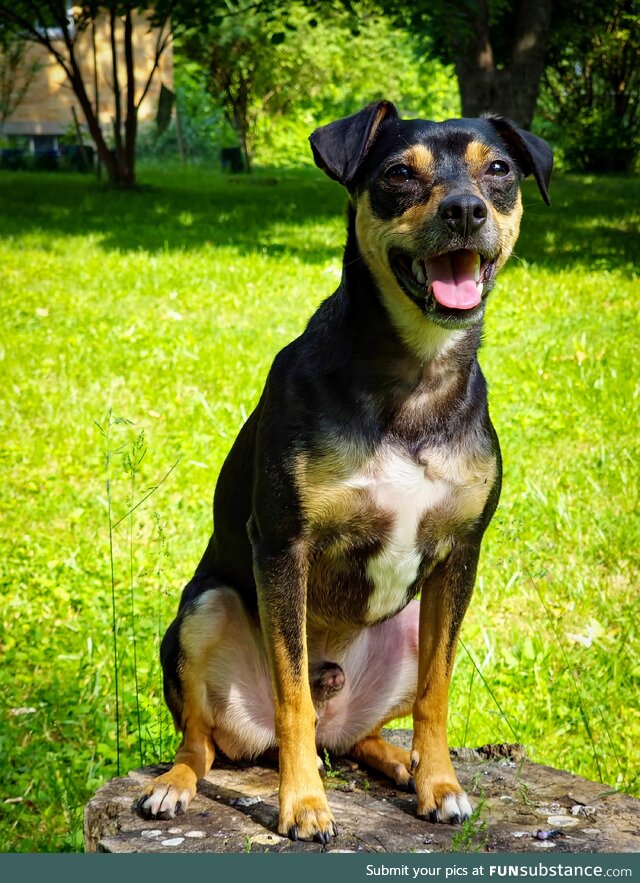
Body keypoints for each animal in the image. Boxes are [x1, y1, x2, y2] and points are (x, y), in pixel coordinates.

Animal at [136, 100, 556, 848]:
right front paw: (304, 804)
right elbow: (293, 696)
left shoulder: (461, 556)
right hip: (202, 612)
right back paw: (176, 785)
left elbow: (437, 694)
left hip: (411, 624)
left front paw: (440, 783)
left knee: (361, 736)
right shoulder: (283, 546)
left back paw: (400, 764)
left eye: (500, 170)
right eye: (398, 175)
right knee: (205, 740)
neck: (415, 373)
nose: (466, 209)